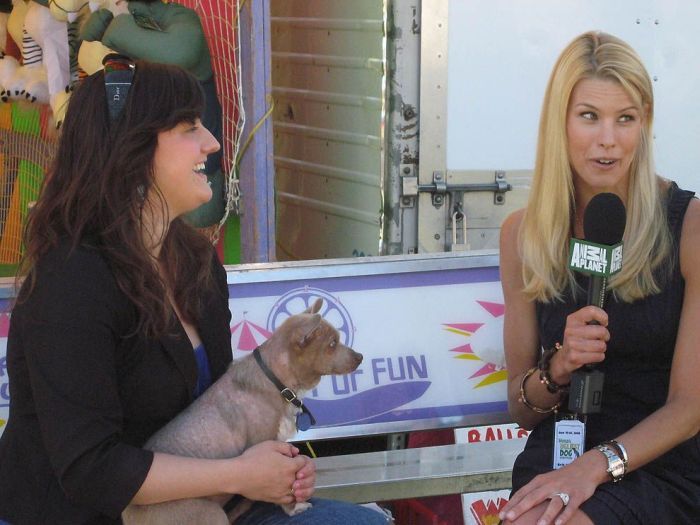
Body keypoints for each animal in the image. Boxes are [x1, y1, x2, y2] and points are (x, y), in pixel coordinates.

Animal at [123, 298, 364, 524]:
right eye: (332, 344)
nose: (360, 356)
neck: (276, 380)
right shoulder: (269, 451)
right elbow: (285, 489)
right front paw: (293, 507)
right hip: (210, 514)